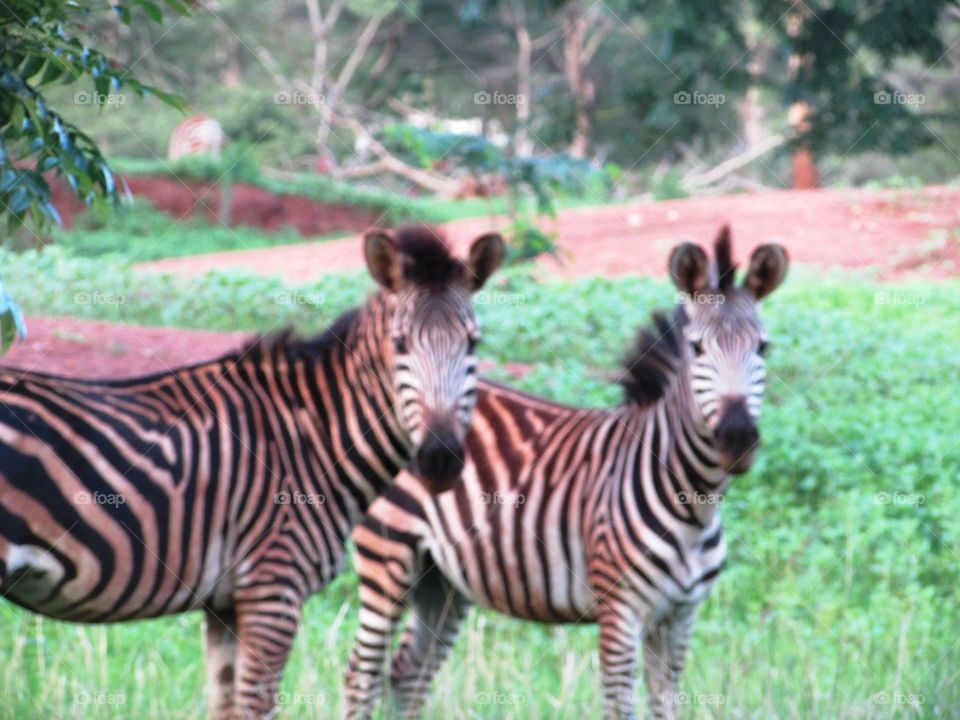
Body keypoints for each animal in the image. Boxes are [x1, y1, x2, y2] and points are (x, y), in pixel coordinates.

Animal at [0, 225, 504, 719]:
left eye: (473, 343)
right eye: (400, 345)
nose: (439, 458)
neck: (312, 435)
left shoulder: (226, 604)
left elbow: (225, 706)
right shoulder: (273, 588)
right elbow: (256, 707)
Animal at [343, 227, 788, 720]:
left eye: (763, 347)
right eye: (698, 348)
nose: (736, 438)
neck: (694, 499)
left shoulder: (680, 615)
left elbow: (666, 705)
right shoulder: (620, 611)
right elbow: (620, 706)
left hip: (440, 578)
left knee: (407, 676)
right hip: (387, 555)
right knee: (361, 674)